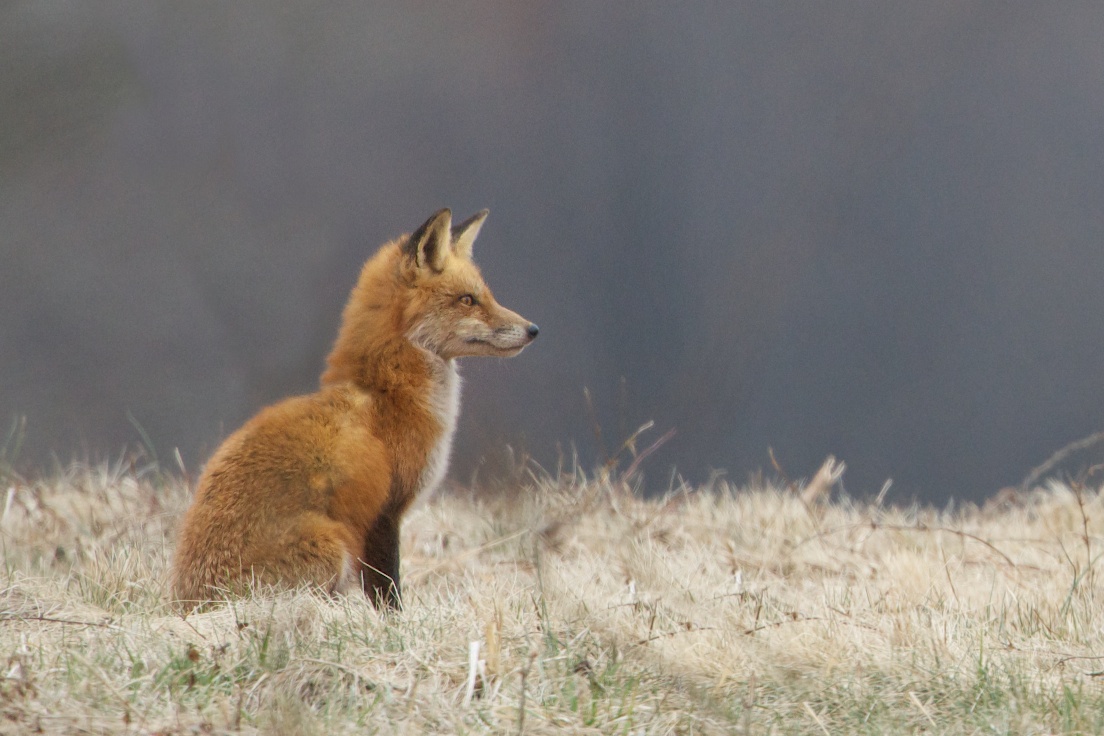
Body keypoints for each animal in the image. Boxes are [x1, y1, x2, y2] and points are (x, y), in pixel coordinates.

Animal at [171, 208, 538, 610]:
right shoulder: (383, 511)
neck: (387, 393)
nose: (533, 329)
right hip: (331, 543)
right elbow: (387, 590)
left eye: (487, 295)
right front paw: (396, 623)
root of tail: (186, 604)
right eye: (468, 300)